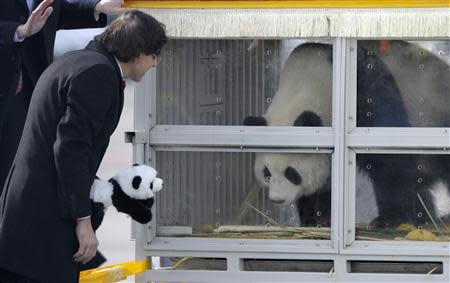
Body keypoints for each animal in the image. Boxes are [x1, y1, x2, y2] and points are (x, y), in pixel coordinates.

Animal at [244, 41, 450, 230]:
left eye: (292, 173)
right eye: (266, 173)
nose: (277, 199)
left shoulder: (367, 93)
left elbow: (389, 160)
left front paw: (389, 219)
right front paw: (315, 219)